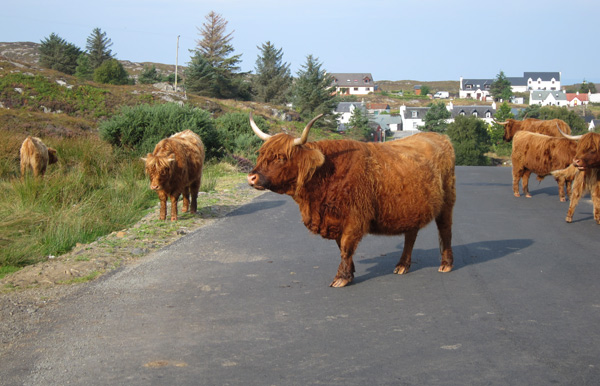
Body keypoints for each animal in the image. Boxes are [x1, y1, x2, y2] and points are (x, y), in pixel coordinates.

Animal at [247, 111, 454, 286]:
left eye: (281, 157)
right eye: (261, 154)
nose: (251, 177)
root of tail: (439, 136)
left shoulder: (354, 218)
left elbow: (346, 246)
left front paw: (341, 277)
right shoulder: (336, 220)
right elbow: (341, 247)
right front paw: (351, 272)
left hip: (448, 201)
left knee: (445, 230)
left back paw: (446, 264)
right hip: (411, 207)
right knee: (411, 234)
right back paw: (402, 265)